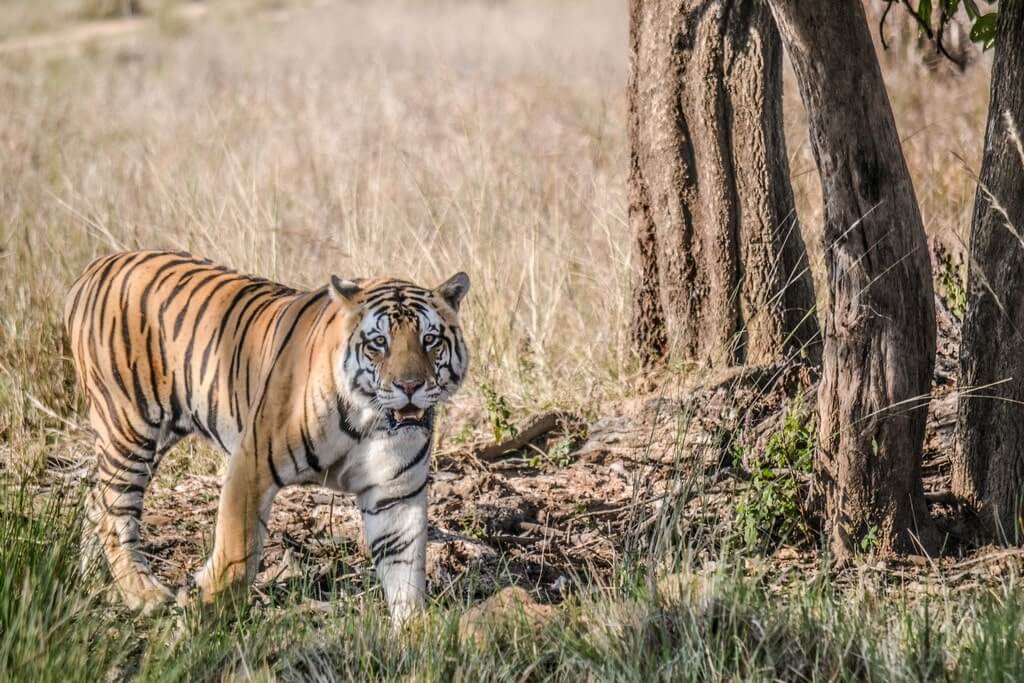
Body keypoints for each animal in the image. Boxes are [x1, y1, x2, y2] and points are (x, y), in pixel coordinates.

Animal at [66, 248, 473, 622]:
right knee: (115, 513)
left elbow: (404, 572)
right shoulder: (252, 463)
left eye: (430, 340)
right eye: (378, 343)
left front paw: (412, 634)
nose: (410, 386)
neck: (368, 419)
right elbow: (238, 550)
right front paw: (200, 609)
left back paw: (94, 584)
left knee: (96, 501)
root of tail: (97, 265)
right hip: (128, 428)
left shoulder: (396, 492)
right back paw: (144, 595)